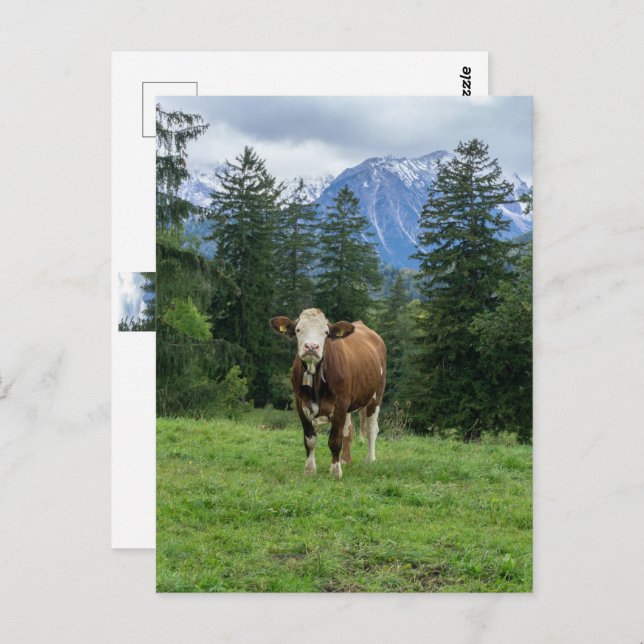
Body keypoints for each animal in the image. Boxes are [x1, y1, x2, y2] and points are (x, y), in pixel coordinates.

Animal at [270, 308, 386, 479]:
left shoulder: (340, 405)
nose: (311, 346)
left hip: (376, 395)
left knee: (372, 428)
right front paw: (310, 469)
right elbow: (310, 440)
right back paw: (345, 460)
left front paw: (335, 471)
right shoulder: (301, 404)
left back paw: (370, 460)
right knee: (348, 430)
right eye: (298, 330)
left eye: (325, 332)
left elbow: (334, 440)